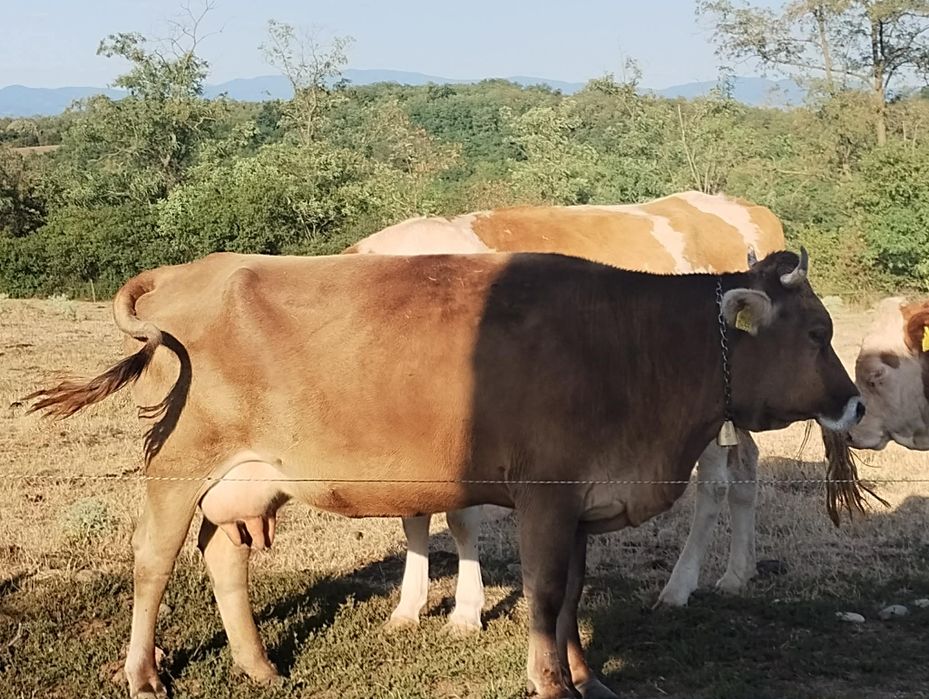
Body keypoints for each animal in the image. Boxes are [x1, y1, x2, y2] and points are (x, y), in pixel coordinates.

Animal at [27, 248, 862, 699]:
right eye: (816, 332)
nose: (853, 402)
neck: (635, 346)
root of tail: (189, 271)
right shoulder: (543, 496)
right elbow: (545, 596)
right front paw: (548, 679)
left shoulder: (579, 502)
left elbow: (572, 597)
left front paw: (586, 674)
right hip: (180, 461)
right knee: (153, 557)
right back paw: (142, 672)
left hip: (244, 477)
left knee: (222, 554)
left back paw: (258, 664)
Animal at [343, 190, 787, 621]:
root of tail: (746, 209)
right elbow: (413, 516)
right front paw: (407, 608)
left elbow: (460, 519)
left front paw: (467, 612)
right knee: (745, 465)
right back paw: (737, 573)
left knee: (714, 484)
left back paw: (679, 587)